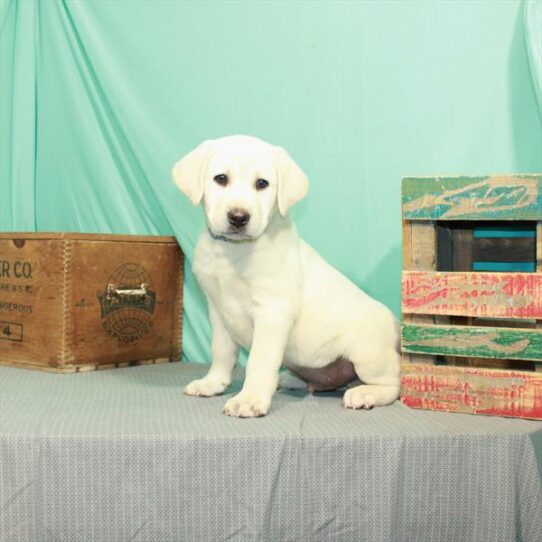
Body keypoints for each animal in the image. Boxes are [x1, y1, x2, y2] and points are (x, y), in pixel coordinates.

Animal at [172, 136, 402, 420]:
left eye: (262, 183)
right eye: (221, 179)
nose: (238, 217)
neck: (232, 252)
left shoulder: (272, 311)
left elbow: (259, 360)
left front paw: (249, 399)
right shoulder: (217, 309)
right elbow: (222, 351)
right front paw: (213, 383)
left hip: (368, 353)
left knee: (394, 381)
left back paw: (365, 393)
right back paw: (294, 380)